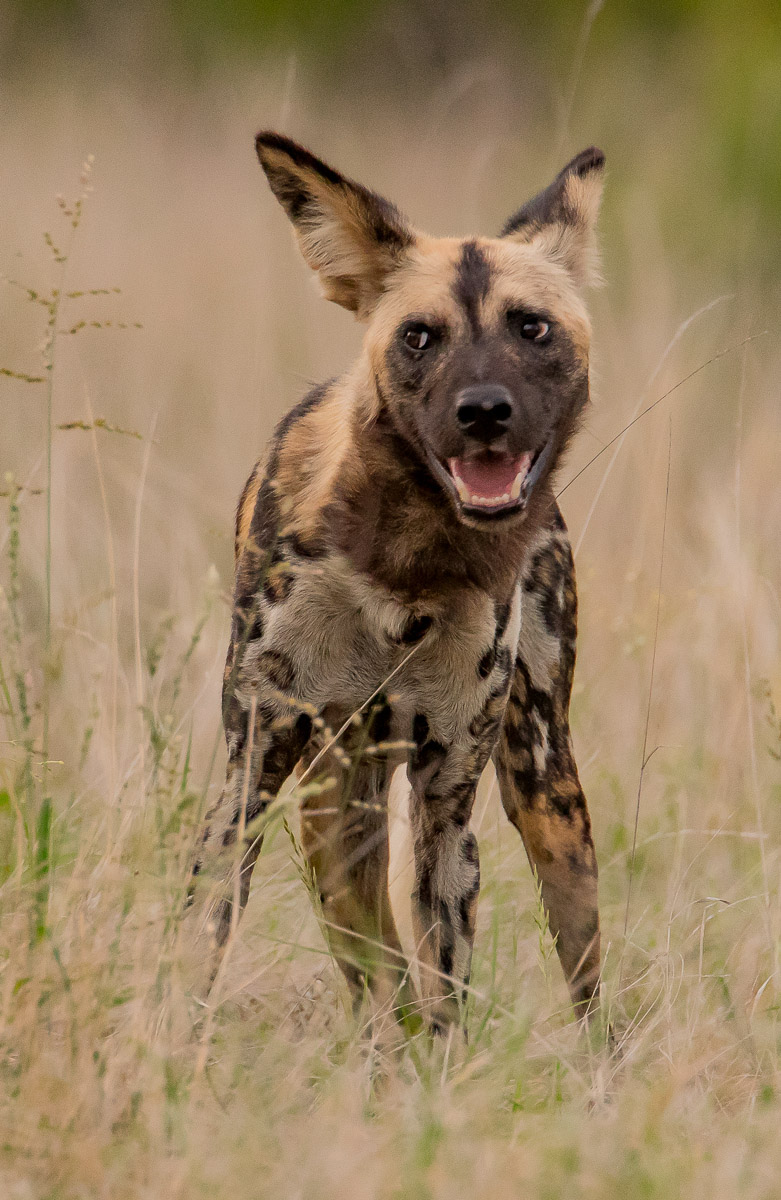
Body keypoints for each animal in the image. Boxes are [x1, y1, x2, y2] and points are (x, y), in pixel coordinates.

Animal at [188, 129, 604, 1032]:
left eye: (531, 327)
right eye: (419, 336)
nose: (483, 411)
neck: (404, 567)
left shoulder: (447, 801)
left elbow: (443, 998)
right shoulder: (248, 773)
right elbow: (198, 946)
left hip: (545, 797)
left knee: (586, 993)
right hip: (331, 822)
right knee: (378, 982)